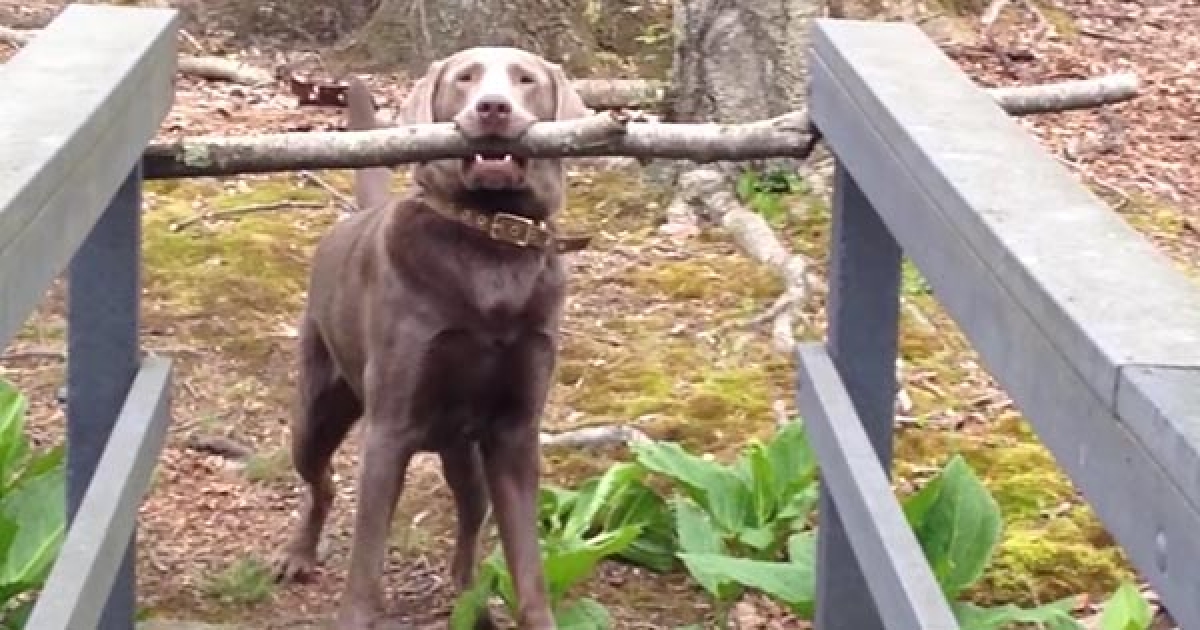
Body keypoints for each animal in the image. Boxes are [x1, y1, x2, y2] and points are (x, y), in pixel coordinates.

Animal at [272, 47, 591, 630]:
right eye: (465, 77)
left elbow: (528, 565)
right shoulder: (389, 428)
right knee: (321, 482)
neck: (489, 243)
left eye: (526, 79)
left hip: (461, 451)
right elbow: (366, 560)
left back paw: (472, 602)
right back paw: (298, 555)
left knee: (470, 520)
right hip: (315, 413)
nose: (493, 108)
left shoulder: (514, 432)